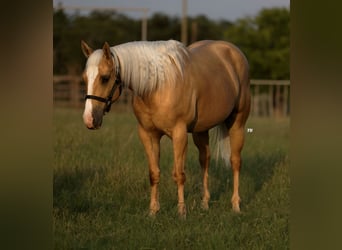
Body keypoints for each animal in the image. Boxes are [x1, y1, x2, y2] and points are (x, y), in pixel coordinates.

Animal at [81, 39, 250, 217]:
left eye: (105, 78)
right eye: (85, 78)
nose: (89, 119)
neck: (157, 86)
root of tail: (233, 51)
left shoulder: (179, 134)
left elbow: (179, 174)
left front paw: (181, 211)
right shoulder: (148, 135)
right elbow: (154, 173)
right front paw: (153, 211)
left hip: (237, 124)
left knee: (235, 162)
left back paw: (235, 205)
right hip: (200, 131)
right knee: (205, 160)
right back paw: (205, 203)